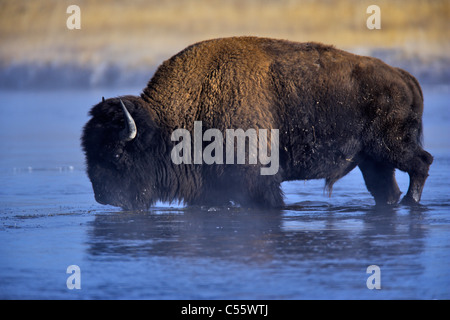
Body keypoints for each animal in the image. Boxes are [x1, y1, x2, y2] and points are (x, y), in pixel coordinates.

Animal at [81, 36, 432, 210]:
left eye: (116, 153)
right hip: (372, 161)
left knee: (422, 163)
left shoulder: (258, 182)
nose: (103, 197)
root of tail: (404, 76)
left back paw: (411, 204)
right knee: (386, 188)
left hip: (391, 148)